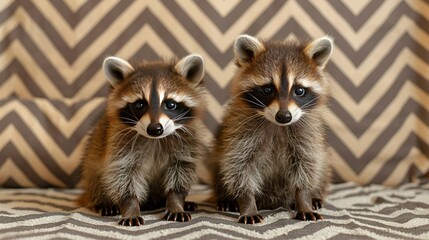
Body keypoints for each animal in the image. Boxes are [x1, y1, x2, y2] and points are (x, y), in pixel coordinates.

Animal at [77, 53, 206, 226]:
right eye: (139, 104)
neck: (155, 139)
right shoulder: (120, 144)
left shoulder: (186, 143)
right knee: (96, 178)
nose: (155, 129)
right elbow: (123, 176)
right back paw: (103, 203)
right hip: (91, 168)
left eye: (171, 104)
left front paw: (176, 202)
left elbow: (181, 173)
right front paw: (130, 206)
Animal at [209, 34, 332, 224]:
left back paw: (315, 196)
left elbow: (307, 165)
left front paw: (304, 199)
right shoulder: (240, 133)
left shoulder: (307, 136)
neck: (278, 126)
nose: (284, 116)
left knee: (323, 165)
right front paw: (247, 203)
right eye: (267, 89)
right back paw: (226, 199)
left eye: (299, 91)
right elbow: (239, 168)